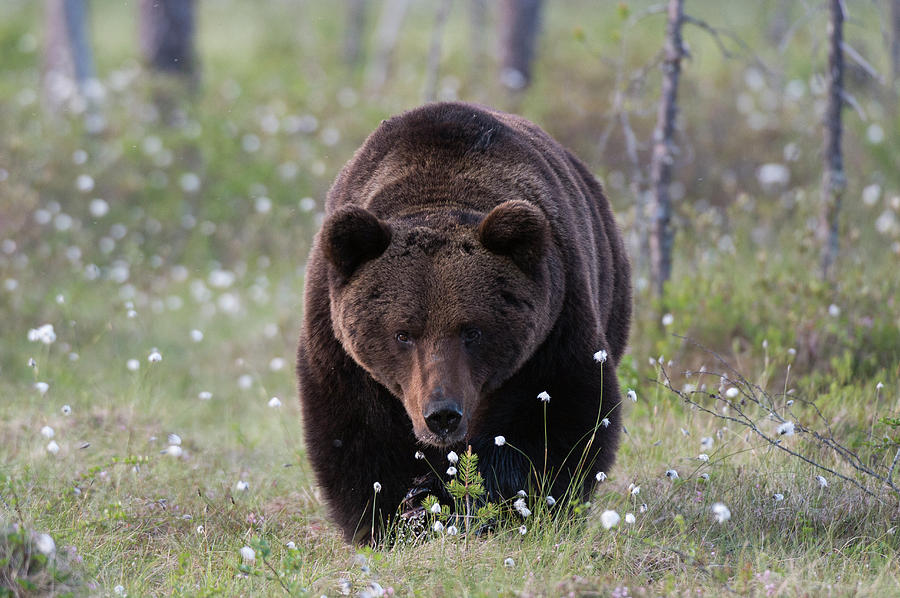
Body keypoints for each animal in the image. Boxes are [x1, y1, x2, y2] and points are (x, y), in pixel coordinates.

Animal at [298, 102, 628, 544]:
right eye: (402, 334)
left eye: (472, 331)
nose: (442, 414)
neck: (438, 189)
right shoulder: (342, 352)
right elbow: (359, 435)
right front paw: (398, 516)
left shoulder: (552, 331)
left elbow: (557, 419)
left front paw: (503, 506)